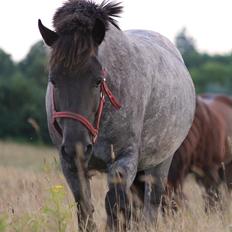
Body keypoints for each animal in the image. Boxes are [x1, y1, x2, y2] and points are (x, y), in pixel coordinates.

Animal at [38, 0, 196, 230]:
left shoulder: (124, 160)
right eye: (54, 80)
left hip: (160, 164)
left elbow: (114, 206)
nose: (76, 147)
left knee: (151, 206)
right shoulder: (71, 167)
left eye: (97, 80)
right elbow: (85, 210)